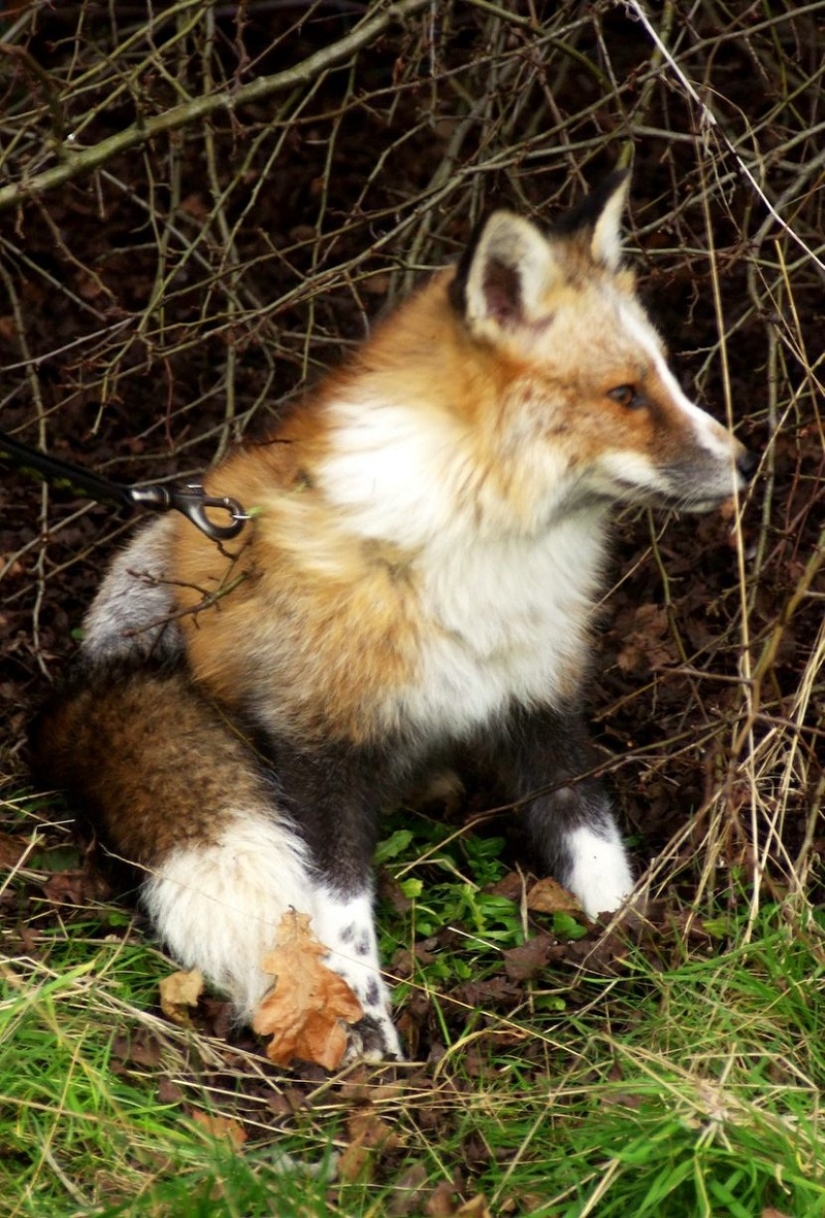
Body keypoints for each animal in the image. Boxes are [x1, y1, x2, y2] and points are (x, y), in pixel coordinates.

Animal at [32, 173, 755, 1061]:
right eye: (624, 395)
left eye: (667, 379)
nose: (744, 462)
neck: (469, 553)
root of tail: (88, 683)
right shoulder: (318, 749)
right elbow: (340, 921)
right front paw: (364, 1043)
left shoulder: (539, 706)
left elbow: (596, 855)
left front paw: (628, 957)